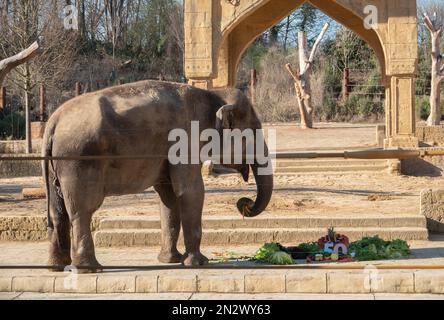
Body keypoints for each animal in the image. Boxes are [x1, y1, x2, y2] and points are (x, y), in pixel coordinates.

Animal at [41, 81, 272, 272]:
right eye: (253, 131)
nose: (244, 204)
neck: (215, 93)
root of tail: (53, 122)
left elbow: (168, 197)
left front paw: (171, 260)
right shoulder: (186, 139)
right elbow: (191, 190)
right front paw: (198, 263)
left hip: (58, 166)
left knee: (58, 210)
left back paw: (56, 267)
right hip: (79, 161)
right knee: (83, 210)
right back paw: (89, 269)